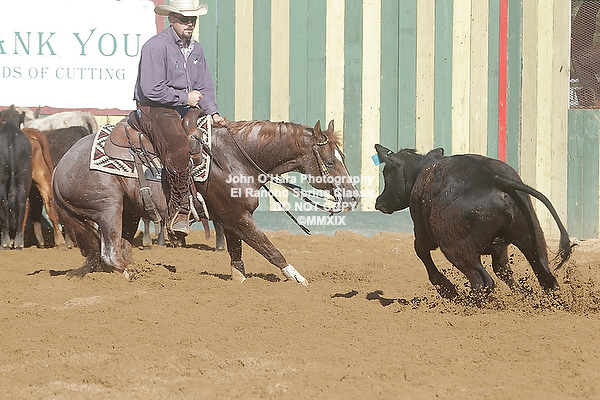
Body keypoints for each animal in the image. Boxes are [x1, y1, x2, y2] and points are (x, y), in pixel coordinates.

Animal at [52, 111, 360, 284]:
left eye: (343, 157)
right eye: (329, 162)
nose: (354, 197)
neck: (235, 158)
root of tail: (58, 169)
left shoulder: (232, 218)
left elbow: (237, 256)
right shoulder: (237, 216)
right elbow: (269, 249)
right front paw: (299, 279)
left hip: (129, 213)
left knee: (116, 251)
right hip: (109, 209)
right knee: (110, 253)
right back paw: (132, 276)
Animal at [374, 144, 574, 299]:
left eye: (386, 173)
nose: (378, 202)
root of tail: (495, 179)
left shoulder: (423, 233)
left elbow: (422, 252)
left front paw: (447, 289)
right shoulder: (500, 248)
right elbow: (503, 270)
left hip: (457, 249)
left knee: (481, 280)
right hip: (532, 238)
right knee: (545, 276)